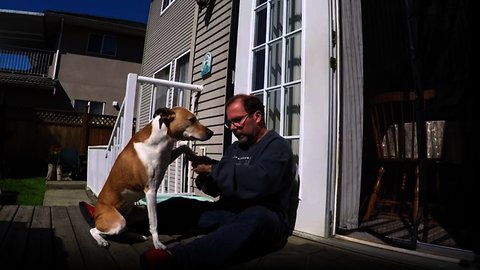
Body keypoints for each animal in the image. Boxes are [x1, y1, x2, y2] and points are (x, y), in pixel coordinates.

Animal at [89, 106, 212, 249]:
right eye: (192, 120)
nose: (211, 132)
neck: (160, 140)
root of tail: (96, 212)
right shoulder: (151, 190)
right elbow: (154, 222)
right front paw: (157, 243)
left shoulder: (167, 158)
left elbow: (184, 146)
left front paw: (196, 158)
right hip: (117, 222)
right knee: (94, 230)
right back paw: (101, 240)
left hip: (139, 213)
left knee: (123, 230)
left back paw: (136, 235)